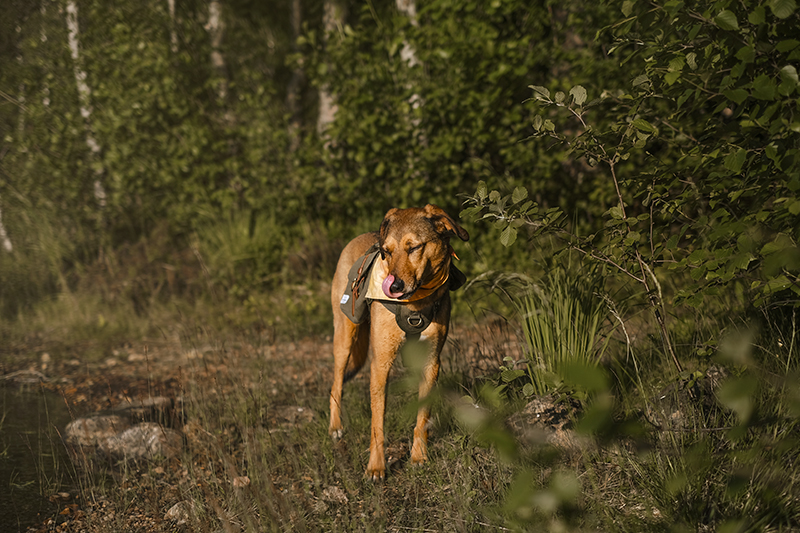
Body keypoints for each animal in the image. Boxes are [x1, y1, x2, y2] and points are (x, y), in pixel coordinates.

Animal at [328, 204, 468, 478]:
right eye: (387, 252)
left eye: (414, 248)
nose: (393, 287)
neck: (416, 303)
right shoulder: (381, 363)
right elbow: (377, 422)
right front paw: (376, 466)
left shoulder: (431, 363)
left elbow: (422, 416)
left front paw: (418, 456)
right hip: (345, 338)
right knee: (335, 385)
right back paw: (335, 426)